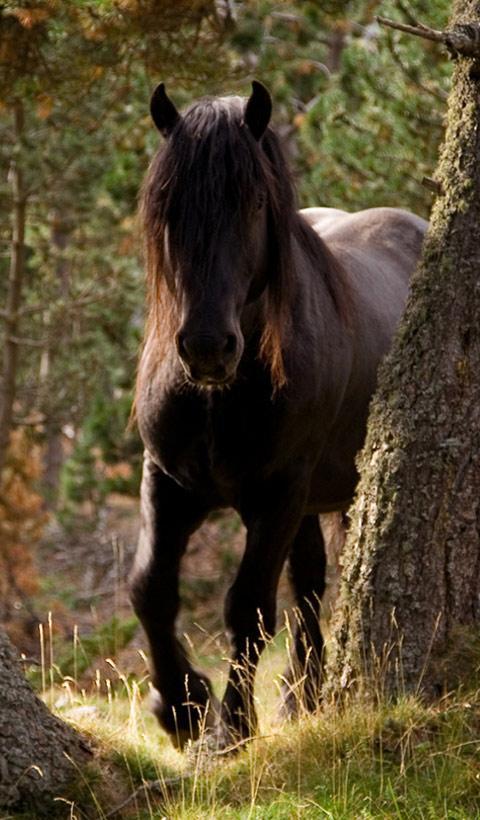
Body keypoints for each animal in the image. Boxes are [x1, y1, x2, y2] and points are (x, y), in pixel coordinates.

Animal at [130, 80, 427, 750]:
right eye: (167, 205)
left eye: (253, 202)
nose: (207, 347)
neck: (217, 397)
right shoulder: (167, 481)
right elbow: (150, 589)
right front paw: (180, 706)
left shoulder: (278, 493)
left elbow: (248, 608)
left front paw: (231, 728)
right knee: (310, 585)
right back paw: (301, 695)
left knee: (304, 591)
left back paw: (296, 696)